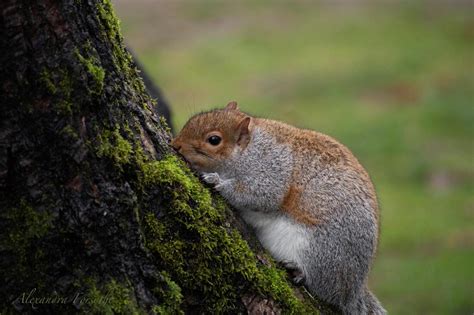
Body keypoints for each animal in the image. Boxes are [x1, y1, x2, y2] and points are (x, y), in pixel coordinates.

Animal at [172, 102, 386, 314]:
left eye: (214, 140)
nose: (176, 145)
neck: (249, 149)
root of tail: (353, 292)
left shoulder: (272, 169)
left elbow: (261, 195)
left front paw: (215, 180)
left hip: (321, 252)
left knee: (324, 287)